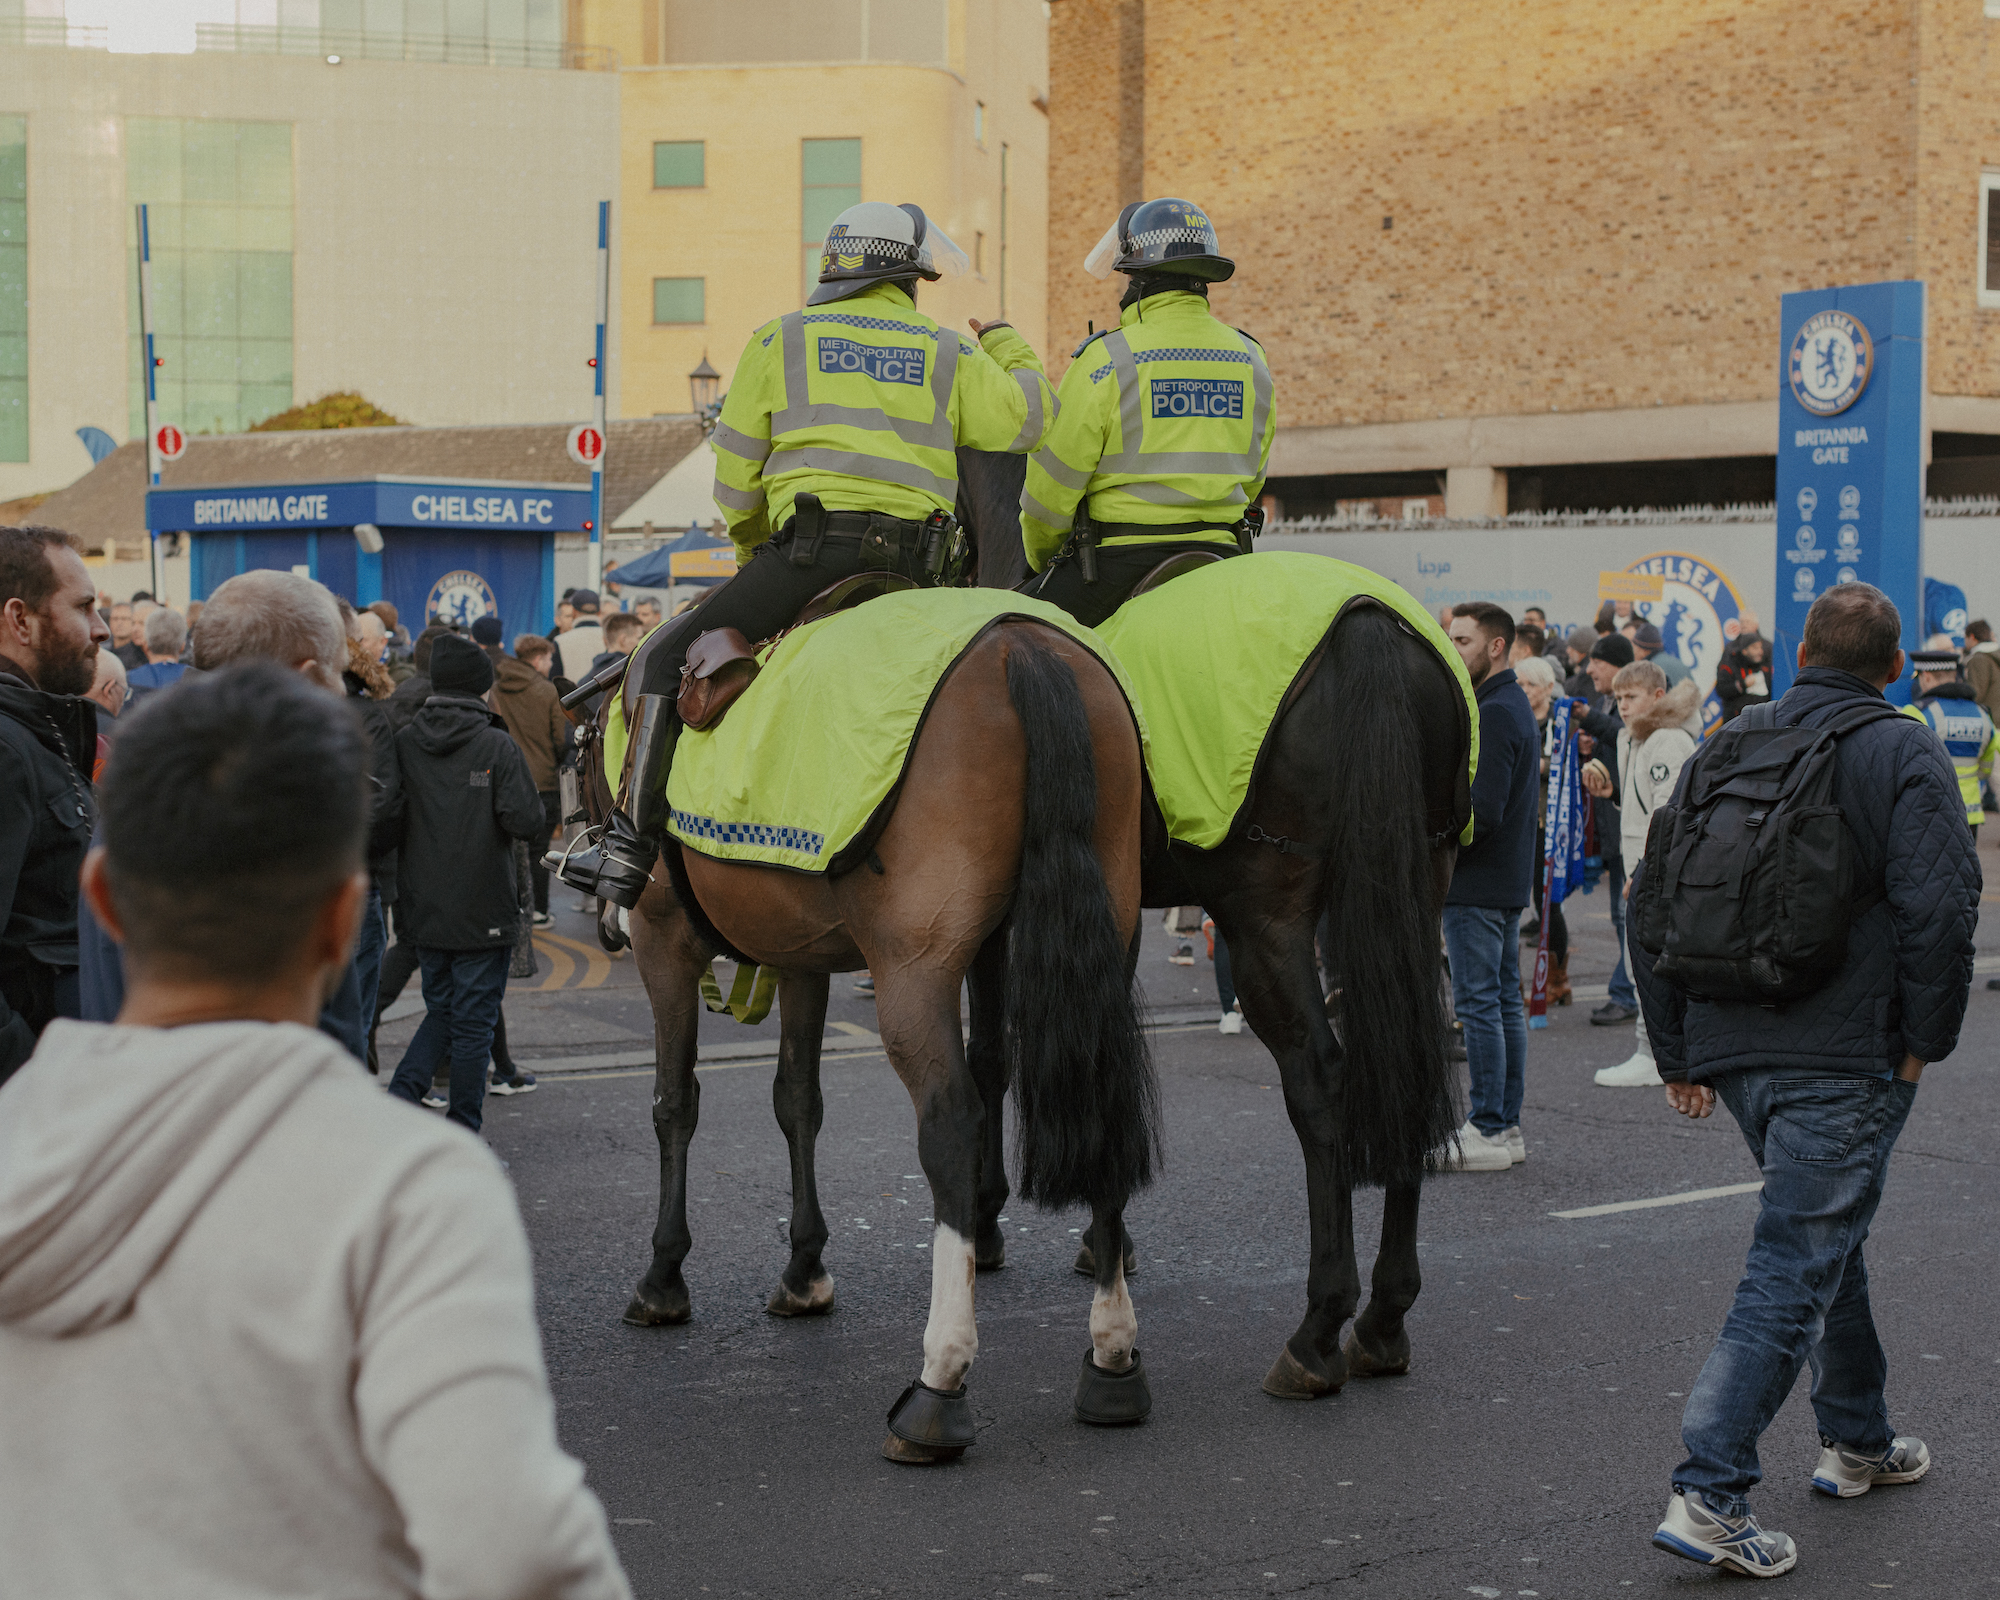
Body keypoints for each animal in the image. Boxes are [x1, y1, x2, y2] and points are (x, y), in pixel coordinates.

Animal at [960, 450, 1480, 1400]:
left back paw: (1317, 1329)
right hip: (1414, 882)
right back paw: (1384, 1319)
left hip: (1263, 913)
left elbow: (993, 1057)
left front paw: (991, 1223)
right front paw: (1104, 1239)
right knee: (1405, 1059)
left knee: (1319, 1076)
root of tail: (1366, 625)